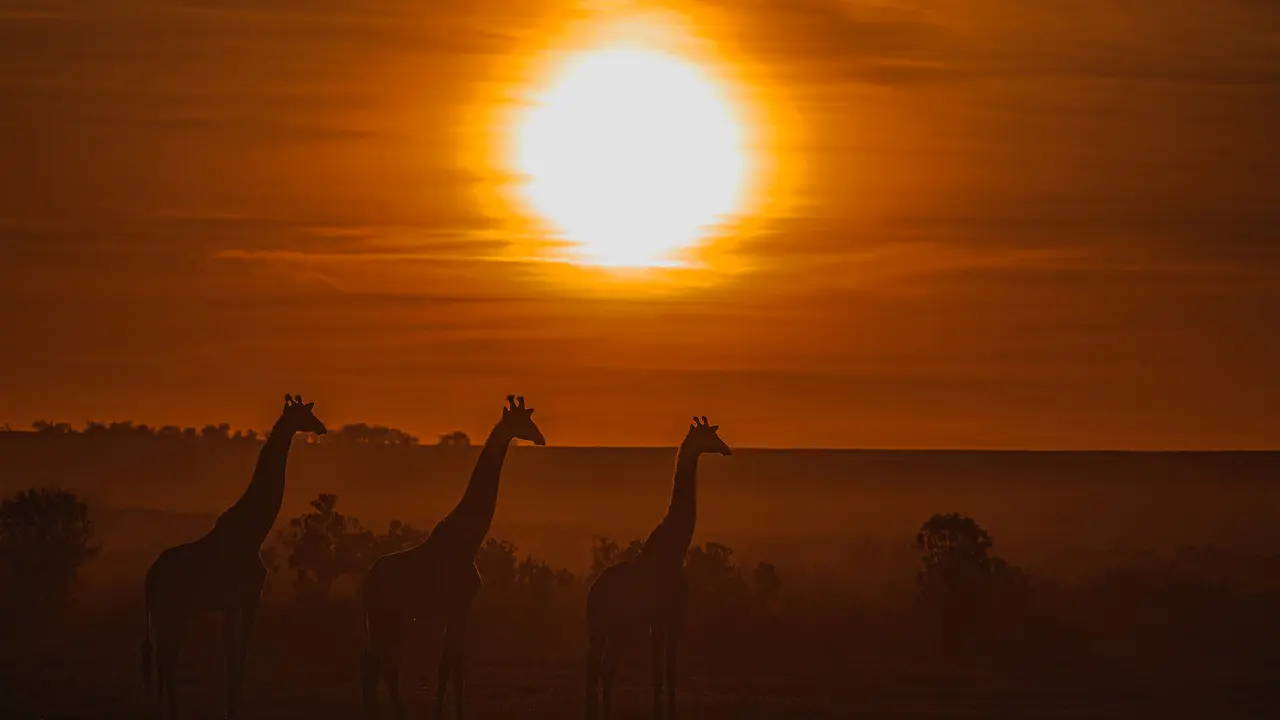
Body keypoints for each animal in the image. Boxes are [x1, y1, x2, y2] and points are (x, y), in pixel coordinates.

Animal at [139, 394, 327, 719]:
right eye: (304, 415)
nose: (323, 428)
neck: (254, 532)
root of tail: (149, 579)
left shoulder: (229, 605)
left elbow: (230, 658)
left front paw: (229, 708)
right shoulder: (250, 598)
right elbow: (240, 656)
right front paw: (233, 710)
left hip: (165, 613)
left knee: (162, 661)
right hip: (175, 611)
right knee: (167, 660)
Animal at [360, 394, 546, 720]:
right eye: (524, 422)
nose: (541, 438)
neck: (468, 541)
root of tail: (367, 581)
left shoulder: (457, 609)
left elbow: (451, 665)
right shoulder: (460, 606)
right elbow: (452, 666)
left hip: (390, 617)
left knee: (382, 668)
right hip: (383, 615)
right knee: (376, 669)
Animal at [584, 415, 731, 720]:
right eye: (712, 436)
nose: (727, 449)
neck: (674, 552)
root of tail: (591, 596)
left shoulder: (658, 622)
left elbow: (660, 673)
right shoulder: (672, 617)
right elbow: (666, 673)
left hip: (603, 628)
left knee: (598, 667)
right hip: (617, 628)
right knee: (602, 667)